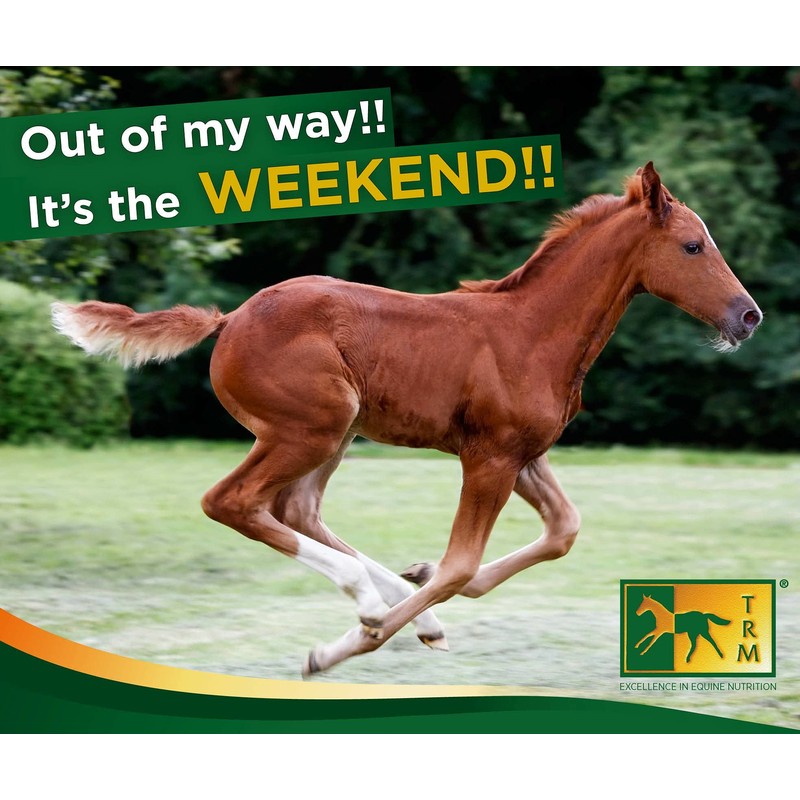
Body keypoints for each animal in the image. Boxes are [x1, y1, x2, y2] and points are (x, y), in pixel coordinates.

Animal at [51, 162, 762, 677]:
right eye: (692, 246)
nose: (748, 316)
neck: (532, 331)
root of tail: (228, 320)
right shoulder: (490, 458)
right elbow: (460, 566)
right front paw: (339, 648)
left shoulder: (525, 454)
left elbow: (561, 531)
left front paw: (417, 587)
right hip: (312, 427)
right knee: (232, 501)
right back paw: (370, 606)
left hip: (335, 433)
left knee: (295, 510)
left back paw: (407, 609)